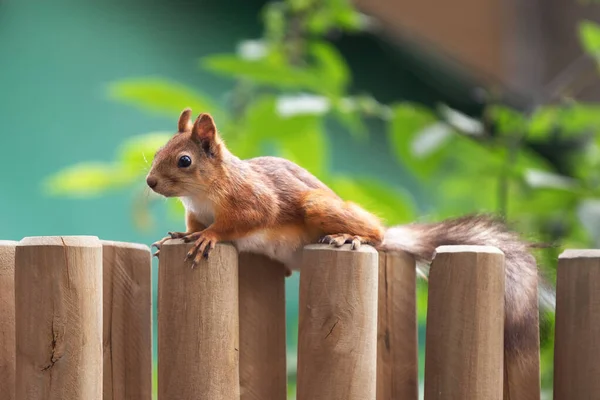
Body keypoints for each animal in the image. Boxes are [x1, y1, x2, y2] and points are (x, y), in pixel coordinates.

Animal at [148, 109, 548, 382]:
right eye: (156, 151)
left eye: (185, 160)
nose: (150, 182)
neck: (203, 194)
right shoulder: (196, 213)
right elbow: (192, 227)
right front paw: (178, 236)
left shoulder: (254, 201)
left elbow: (242, 221)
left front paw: (210, 237)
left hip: (320, 206)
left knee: (377, 234)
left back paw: (351, 236)